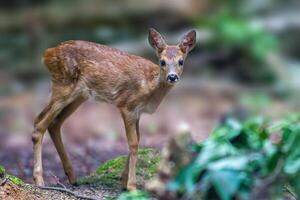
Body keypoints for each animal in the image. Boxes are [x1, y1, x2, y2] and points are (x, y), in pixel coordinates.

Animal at [31, 27, 197, 189]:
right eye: (162, 62)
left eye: (181, 61)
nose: (172, 77)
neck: (149, 85)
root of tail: (47, 53)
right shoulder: (127, 106)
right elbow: (133, 143)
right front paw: (131, 186)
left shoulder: (138, 112)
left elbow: (138, 139)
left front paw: (123, 181)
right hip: (63, 86)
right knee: (39, 124)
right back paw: (39, 180)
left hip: (79, 96)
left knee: (53, 123)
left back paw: (72, 177)